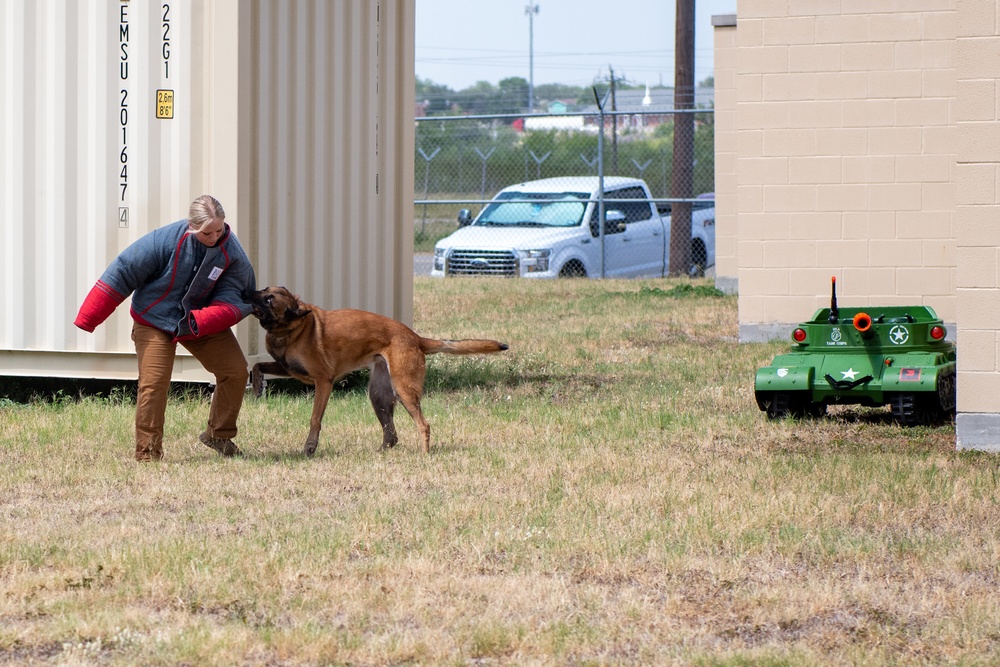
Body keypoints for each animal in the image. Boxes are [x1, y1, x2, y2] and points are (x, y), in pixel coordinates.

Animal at [243, 284, 508, 456]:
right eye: (263, 288)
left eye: (269, 299)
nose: (246, 291)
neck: (292, 327)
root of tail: (416, 338)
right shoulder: (286, 368)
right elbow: (257, 365)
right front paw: (256, 387)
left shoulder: (323, 381)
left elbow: (315, 418)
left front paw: (310, 448)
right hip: (379, 395)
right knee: (392, 436)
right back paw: (380, 453)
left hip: (404, 391)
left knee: (424, 425)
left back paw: (424, 455)